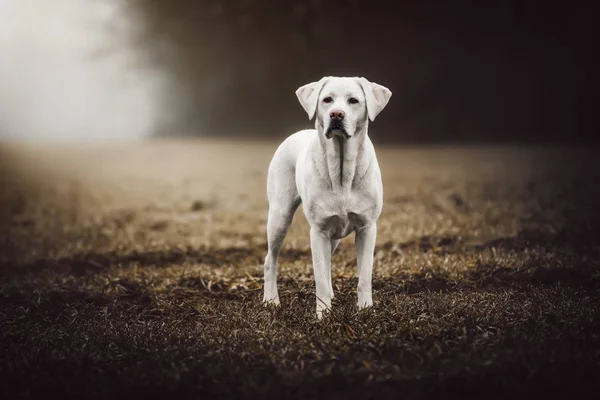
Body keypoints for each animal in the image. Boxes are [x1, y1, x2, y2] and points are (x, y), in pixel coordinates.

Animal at [262, 76, 392, 318]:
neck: (341, 170)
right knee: (270, 260)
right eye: (327, 99)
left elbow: (364, 276)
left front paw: (365, 310)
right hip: (279, 217)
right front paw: (323, 316)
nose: (336, 114)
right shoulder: (319, 231)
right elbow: (320, 278)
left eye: (353, 101)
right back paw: (271, 300)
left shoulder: (367, 228)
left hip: (334, 235)